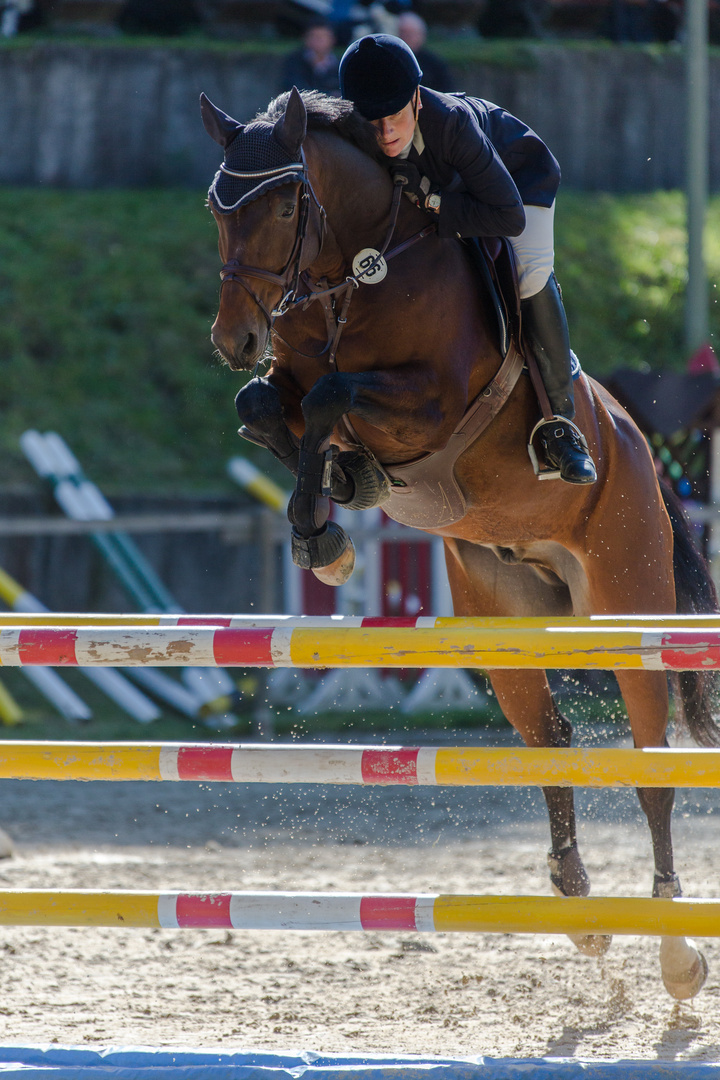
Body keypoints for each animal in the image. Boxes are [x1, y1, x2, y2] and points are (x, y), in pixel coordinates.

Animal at [201, 86, 720, 1002]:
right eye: (215, 209)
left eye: (287, 205)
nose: (235, 340)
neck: (354, 269)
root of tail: (636, 440)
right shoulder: (291, 378)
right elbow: (265, 407)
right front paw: (327, 516)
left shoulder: (430, 402)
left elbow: (333, 395)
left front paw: (330, 512)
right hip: (508, 624)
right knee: (552, 743)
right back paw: (579, 904)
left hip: (627, 610)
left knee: (653, 769)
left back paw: (674, 948)